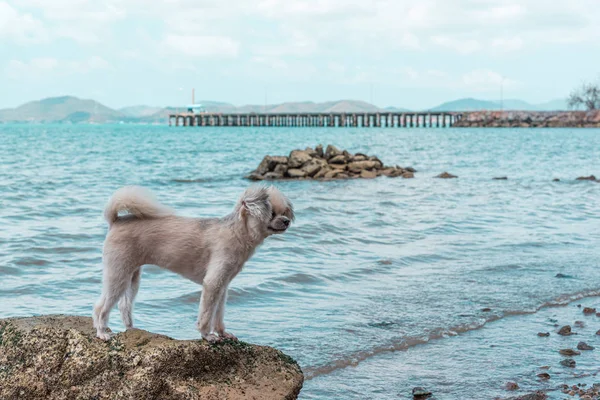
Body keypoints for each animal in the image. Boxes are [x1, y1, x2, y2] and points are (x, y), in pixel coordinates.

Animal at [91, 186, 292, 342]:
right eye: (272, 213)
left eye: (284, 212)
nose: (286, 221)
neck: (236, 232)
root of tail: (116, 221)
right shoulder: (212, 283)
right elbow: (207, 313)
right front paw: (207, 335)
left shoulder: (222, 286)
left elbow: (218, 313)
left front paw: (222, 333)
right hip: (117, 274)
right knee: (100, 308)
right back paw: (102, 333)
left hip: (131, 276)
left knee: (124, 305)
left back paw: (132, 329)